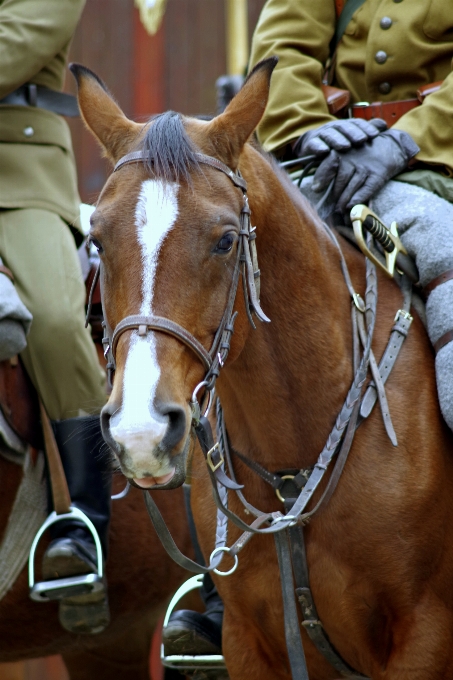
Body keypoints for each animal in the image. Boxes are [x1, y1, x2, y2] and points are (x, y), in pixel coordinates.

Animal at [72, 59, 452, 680]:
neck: (296, 449)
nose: (141, 431)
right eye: (99, 243)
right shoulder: (249, 640)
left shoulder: (426, 638)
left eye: (227, 240)